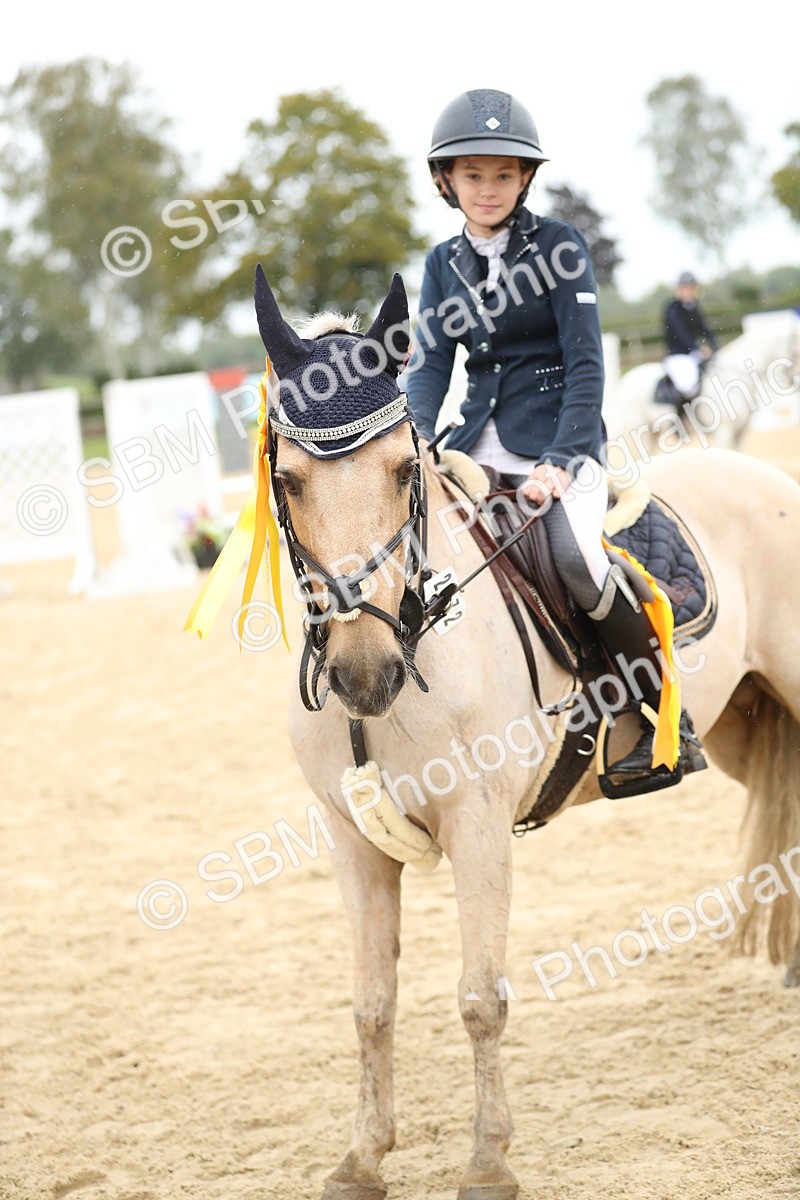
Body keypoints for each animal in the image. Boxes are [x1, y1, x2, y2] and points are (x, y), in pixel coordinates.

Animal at [603, 311, 800, 458]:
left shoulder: (739, 435)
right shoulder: (724, 434)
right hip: (640, 434)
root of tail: (625, 381)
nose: (795, 383)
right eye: (797, 352)